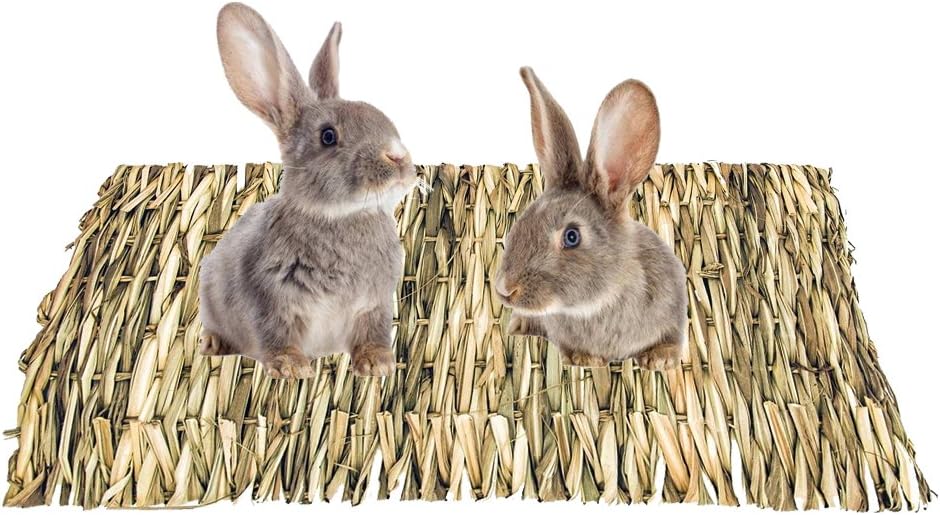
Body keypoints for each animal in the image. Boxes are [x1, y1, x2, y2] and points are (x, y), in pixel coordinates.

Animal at [198, 3, 417, 378]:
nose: (398, 156)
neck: (340, 216)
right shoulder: (270, 299)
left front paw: (378, 364)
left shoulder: (373, 305)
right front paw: (291, 367)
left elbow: (373, 333)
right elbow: (275, 332)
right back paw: (212, 344)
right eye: (328, 136)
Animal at [494, 67, 688, 370]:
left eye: (572, 236)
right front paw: (584, 357)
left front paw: (660, 359)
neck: (600, 300)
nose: (504, 289)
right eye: (521, 223)